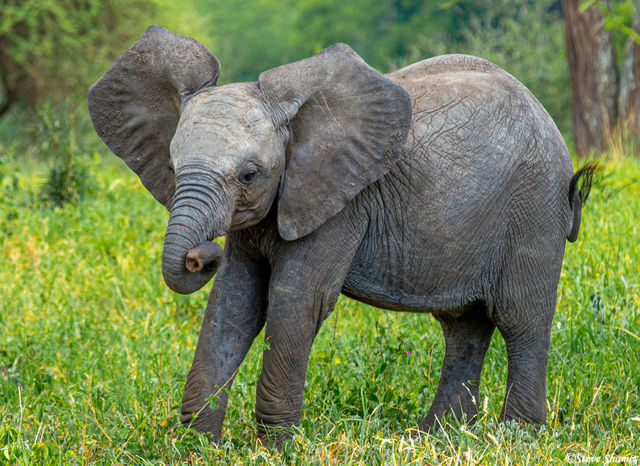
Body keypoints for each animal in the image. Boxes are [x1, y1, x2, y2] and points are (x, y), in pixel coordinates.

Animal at [88, 26, 595, 446]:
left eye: (250, 175)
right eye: (174, 169)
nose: (198, 257)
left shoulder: (341, 204)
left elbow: (297, 300)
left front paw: (274, 450)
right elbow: (235, 300)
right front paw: (199, 447)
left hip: (534, 208)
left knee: (521, 320)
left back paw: (515, 438)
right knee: (464, 327)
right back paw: (437, 438)